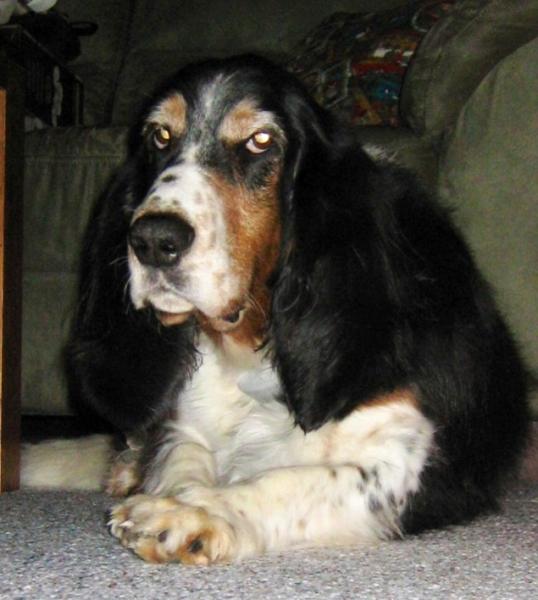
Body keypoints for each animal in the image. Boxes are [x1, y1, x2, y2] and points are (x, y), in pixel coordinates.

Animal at [59, 55, 528, 564]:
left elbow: (292, 481)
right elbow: (181, 461)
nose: (153, 240)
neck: (250, 345)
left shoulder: (410, 457)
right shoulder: (186, 427)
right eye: (159, 136)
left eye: (261, 140)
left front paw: (194, 512)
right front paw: (173, 498)